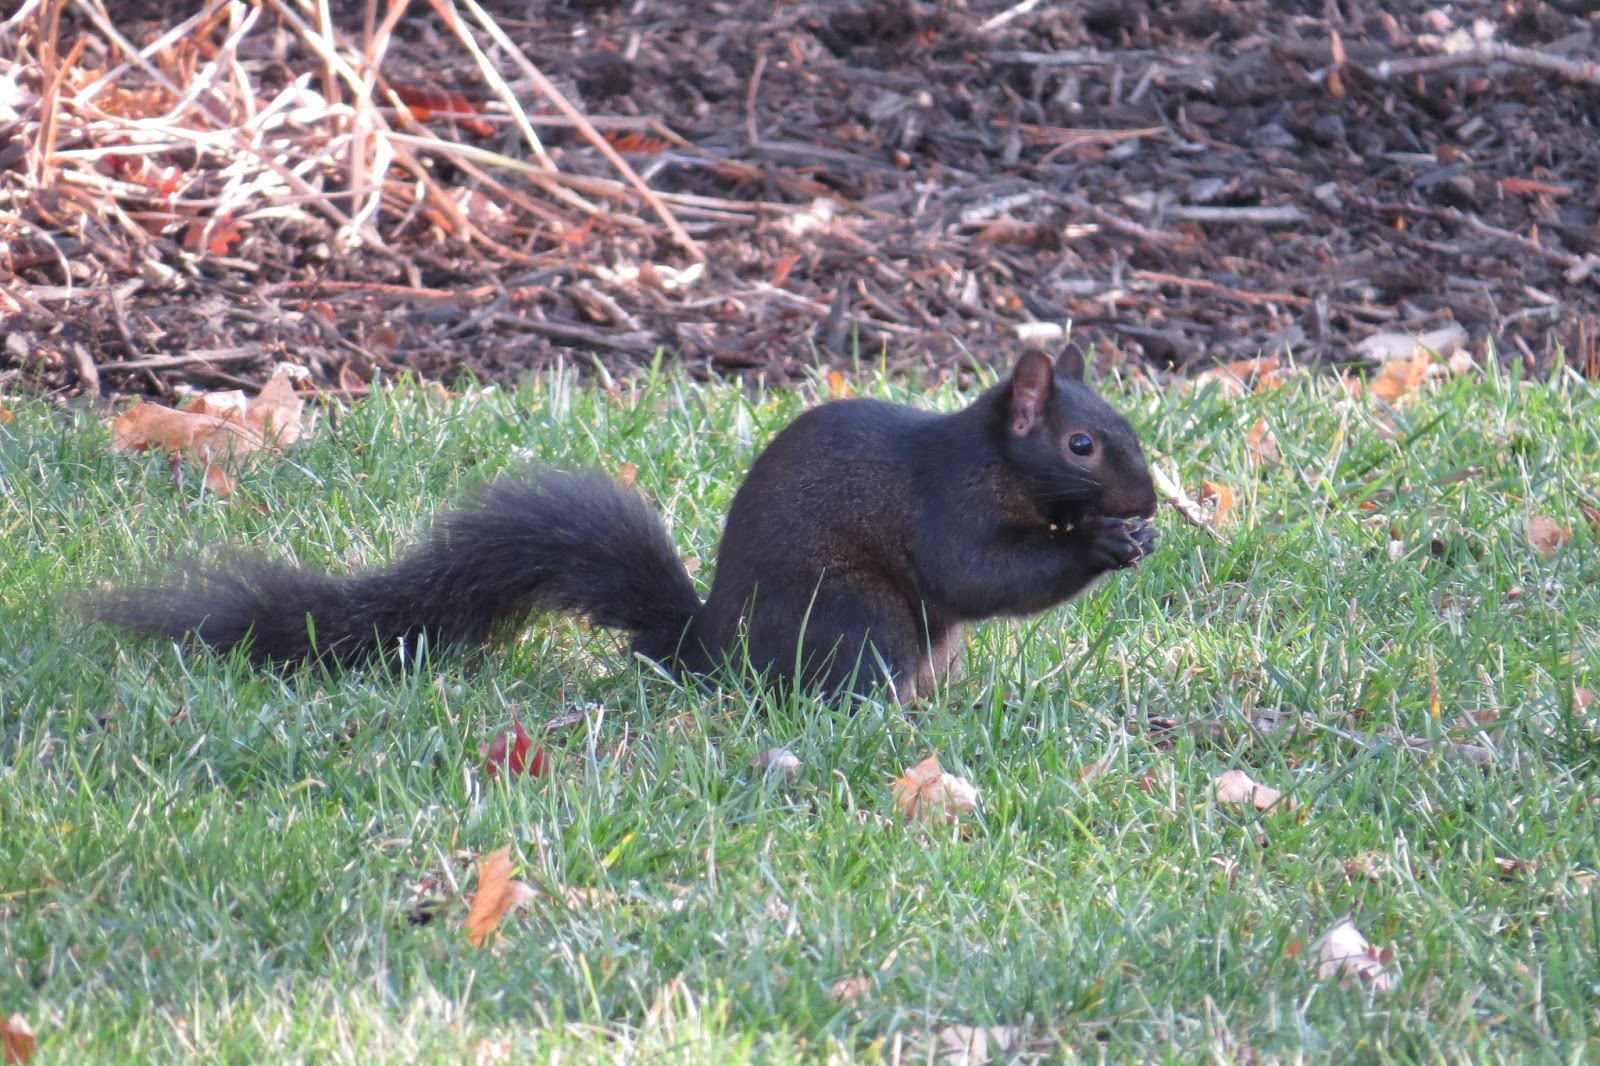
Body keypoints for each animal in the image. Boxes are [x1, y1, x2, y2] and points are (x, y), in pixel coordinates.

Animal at [97, 347, 1159, 699]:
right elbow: (977, 574)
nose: (1148, 504)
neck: (992, 462)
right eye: (1081, 446)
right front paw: (1100, 545)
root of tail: (718, 653)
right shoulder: (946, 507)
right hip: (858, 619)